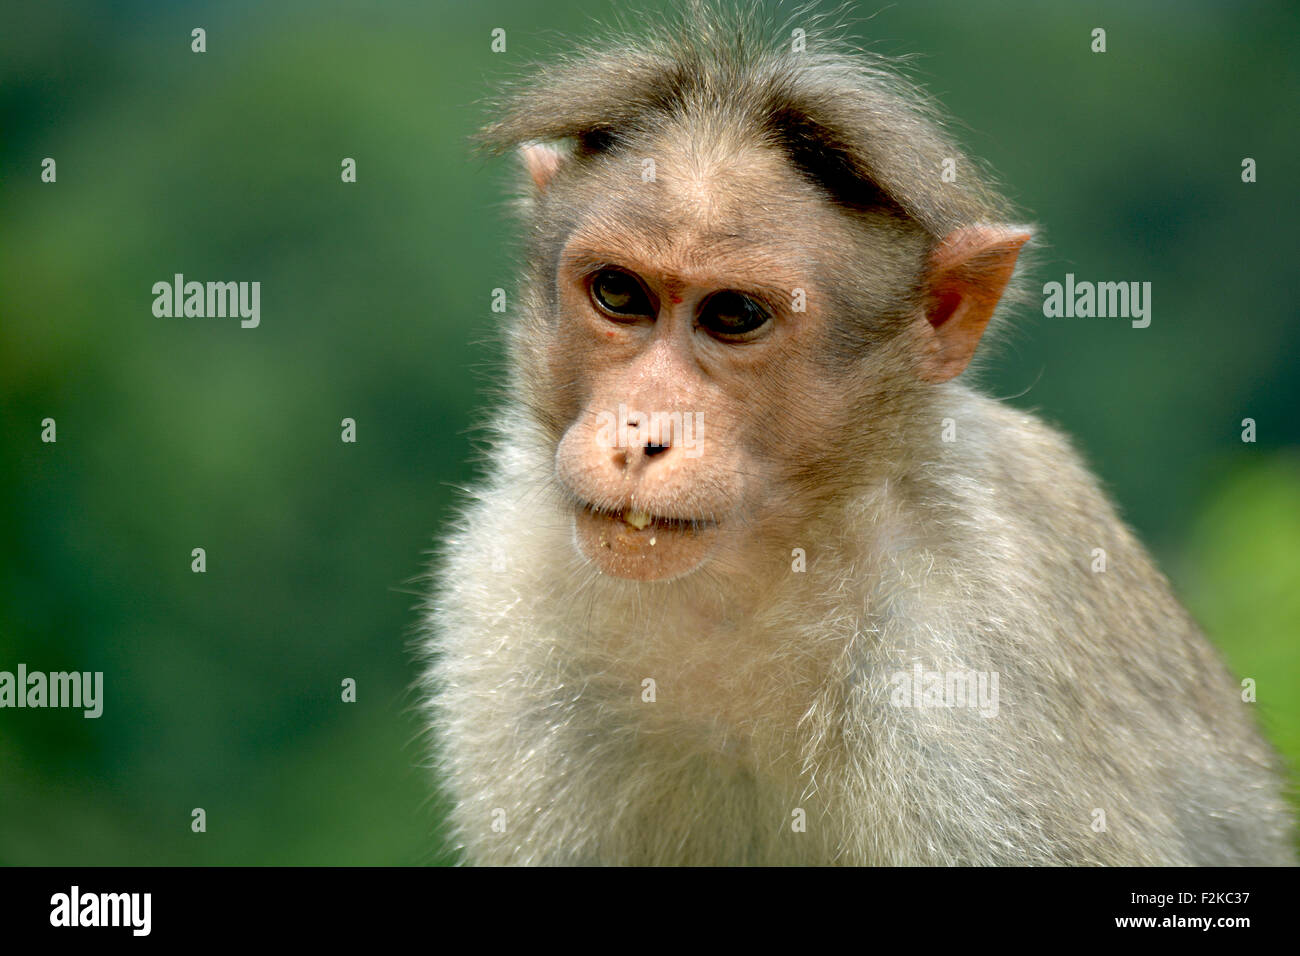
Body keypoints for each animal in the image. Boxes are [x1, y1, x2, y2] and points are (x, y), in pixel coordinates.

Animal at [420, 5, 1296, 865]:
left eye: (734, 315)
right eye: (619, 293)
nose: (640, 436)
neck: (760, 571)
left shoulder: (965, 682)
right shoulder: (507, 598)